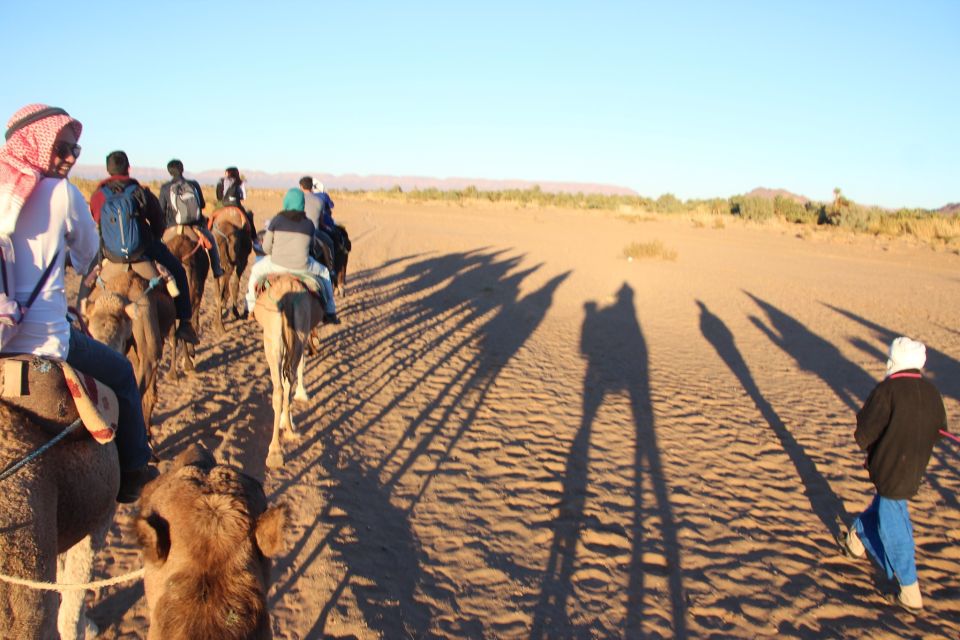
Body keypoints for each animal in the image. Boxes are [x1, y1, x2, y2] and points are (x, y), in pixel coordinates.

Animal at [164, 226, 211, 378]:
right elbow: (194, 321)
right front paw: (191, 352)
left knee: (175, 331)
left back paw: (173, 372)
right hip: (194, 291)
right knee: (184, 325)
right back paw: (187, 363)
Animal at [253, 272, 324, 468]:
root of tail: (288, 296)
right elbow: (300, 367)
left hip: (273, 341)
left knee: (280, 387)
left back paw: (276, 450)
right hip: (296, 335)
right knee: (287, 381)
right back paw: (286, 437)